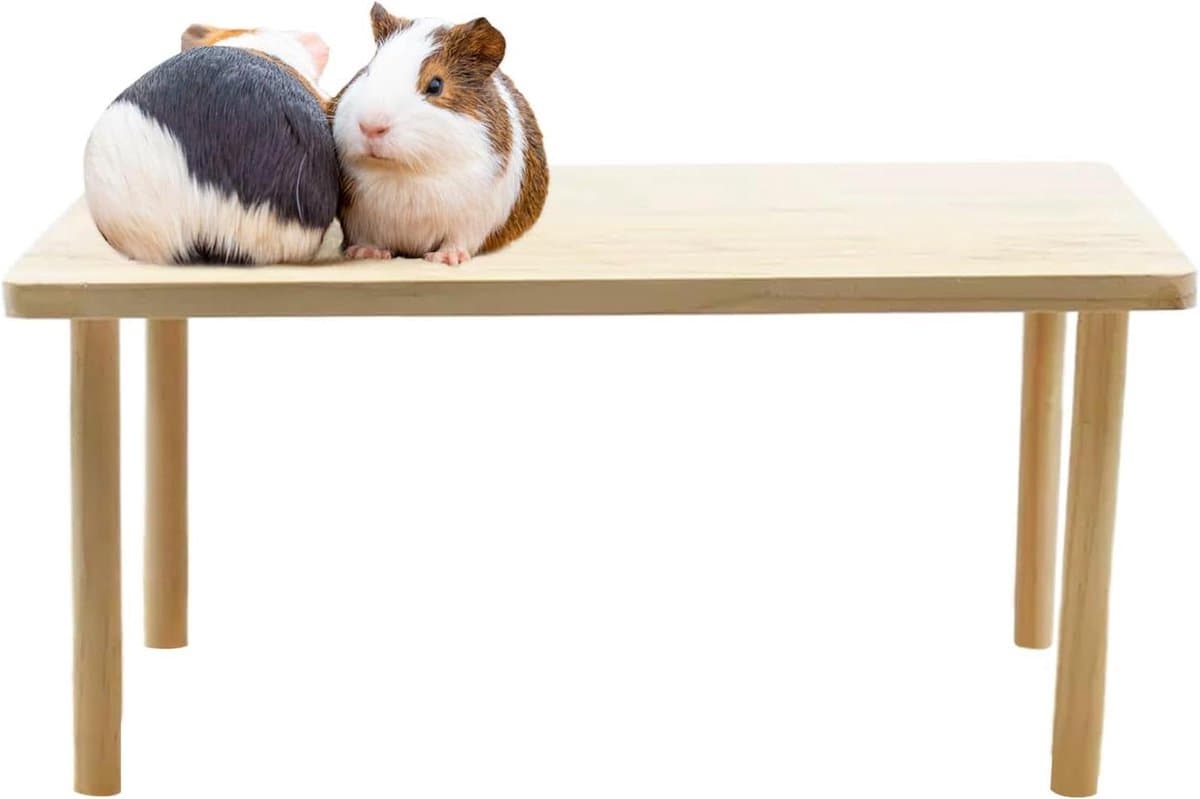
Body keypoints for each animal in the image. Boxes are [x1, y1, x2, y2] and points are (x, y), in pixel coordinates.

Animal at [330, 5, 549, 266]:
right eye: (367, 72)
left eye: (435, 85)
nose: (371, 126)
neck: (405, 172)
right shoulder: (358, 218)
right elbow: (367, 238)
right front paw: (365, 253)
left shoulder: (473, 219)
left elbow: (457, 240)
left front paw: (446, 259)